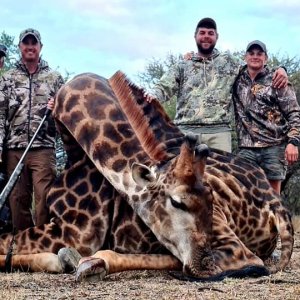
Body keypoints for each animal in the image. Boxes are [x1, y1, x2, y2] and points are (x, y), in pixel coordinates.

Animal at [0, 72, 294, 282]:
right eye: (177, 202)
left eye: (209, 200)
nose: (206, 263)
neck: (75, 151)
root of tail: (277, 207)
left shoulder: (75, 232)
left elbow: (6, 240)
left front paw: (64, 259)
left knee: (244, 260)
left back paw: (91, 263)